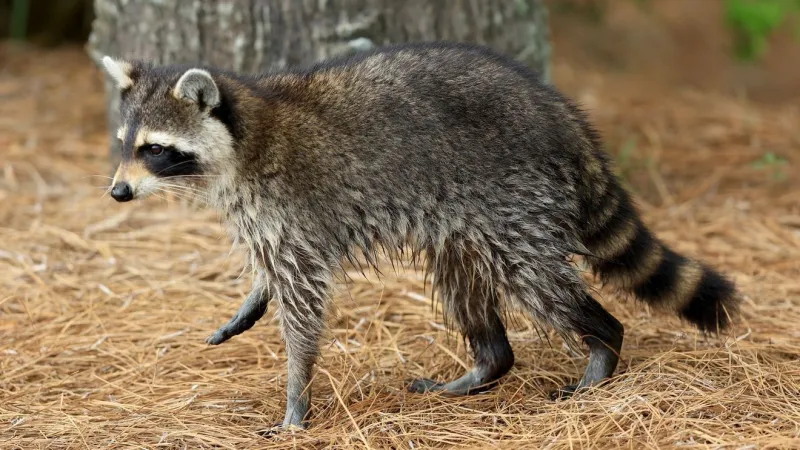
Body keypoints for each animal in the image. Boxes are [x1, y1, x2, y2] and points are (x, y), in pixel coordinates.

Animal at [101, 42, 740, 431]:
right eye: (124, 144)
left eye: (155, 149)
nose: (117, 193)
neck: (244, 132)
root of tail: (562, 116)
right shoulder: (266, 219)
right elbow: (274, 277)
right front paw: (253, 299)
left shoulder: (292, 210)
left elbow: (304, 306)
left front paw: (296, 399)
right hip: (463, 223)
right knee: (461, 281)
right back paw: (488, 362)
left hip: (517, 200)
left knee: (538, 281)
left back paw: (602, 343)